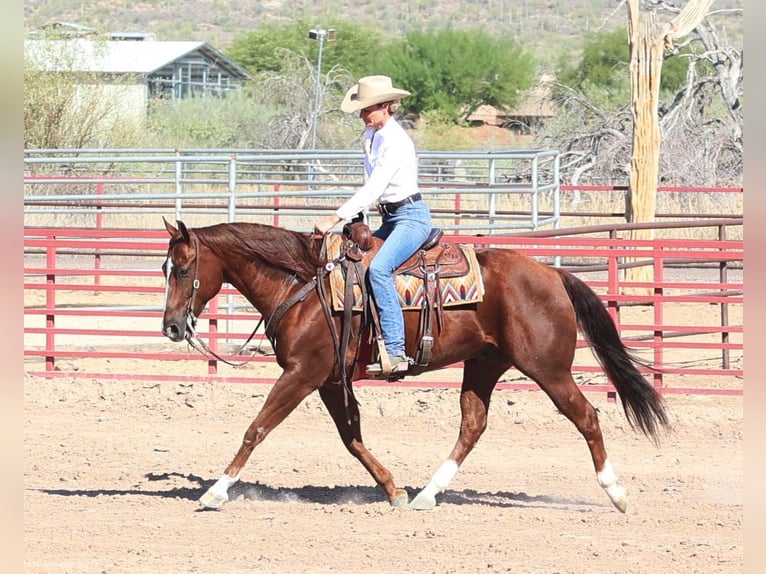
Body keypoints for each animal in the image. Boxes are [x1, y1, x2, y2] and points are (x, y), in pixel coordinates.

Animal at [162, 219, 672, 512]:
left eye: (183, 270)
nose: (170, 326)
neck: (304, 283)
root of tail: (552, 273)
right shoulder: (329, 381)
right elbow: (351, 438)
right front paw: (393, 491)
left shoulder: (302, 374)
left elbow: (258, 427)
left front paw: (216, 491)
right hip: (485, 363)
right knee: (472, 424)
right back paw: (428, 494)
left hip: (548, 368)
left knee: (586, 416)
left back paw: (616, 493)